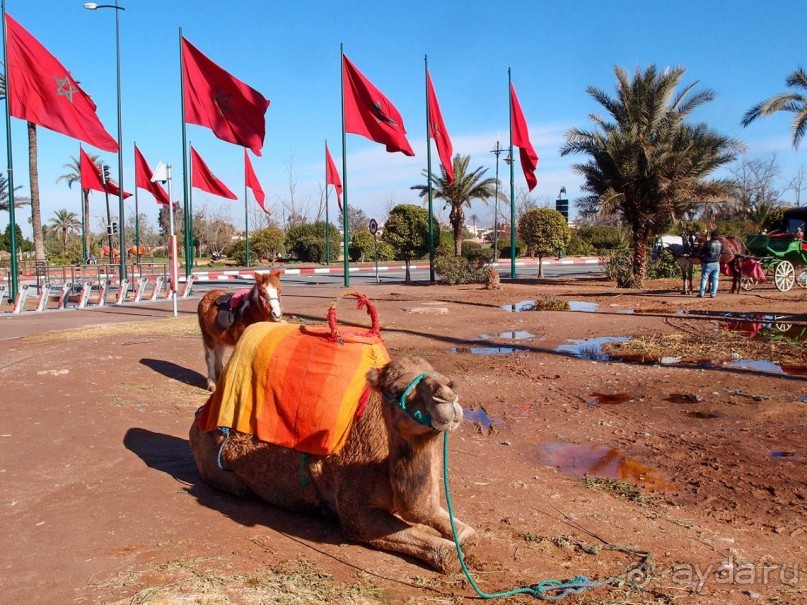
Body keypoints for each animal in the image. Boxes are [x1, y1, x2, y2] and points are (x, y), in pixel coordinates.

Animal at [190, 354, 476, 572]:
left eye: (449, 382)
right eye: (393, 391)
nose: (447, 399)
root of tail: (200, 415)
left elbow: (465, 532)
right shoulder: (356, 515)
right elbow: (444, 551)